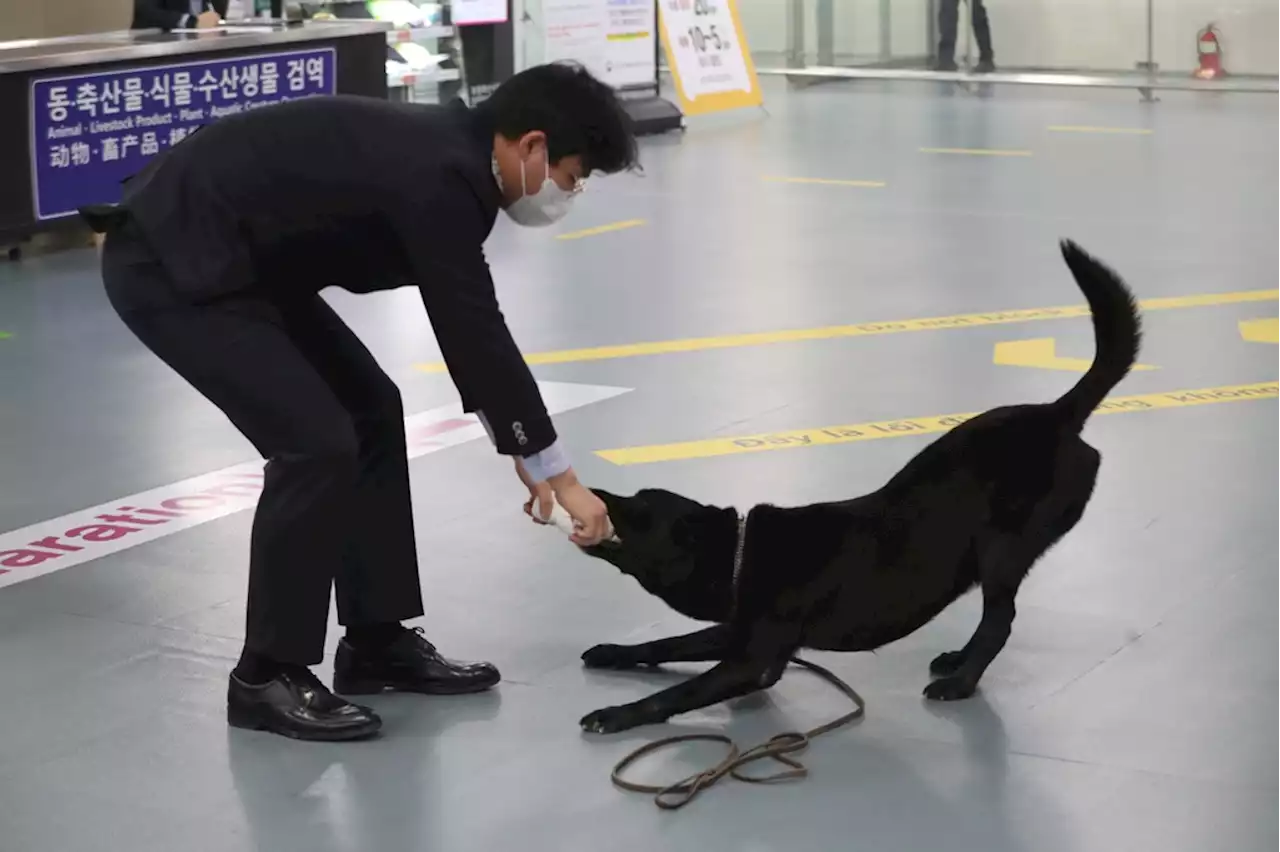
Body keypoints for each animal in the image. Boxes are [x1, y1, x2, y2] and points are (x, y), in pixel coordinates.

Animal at [576, 236, 1146, 731]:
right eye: (633, 497)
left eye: (639, 512)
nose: (594, 494)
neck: (737, 554)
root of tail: (1057, 413)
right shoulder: (734, 632)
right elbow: (668, 643)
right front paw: (616, 653)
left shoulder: (754, 660)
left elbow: (677, 693)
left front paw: (616, 714)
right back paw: (957, 660)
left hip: (1004, 549)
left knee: (999, 620)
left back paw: (962, 681)